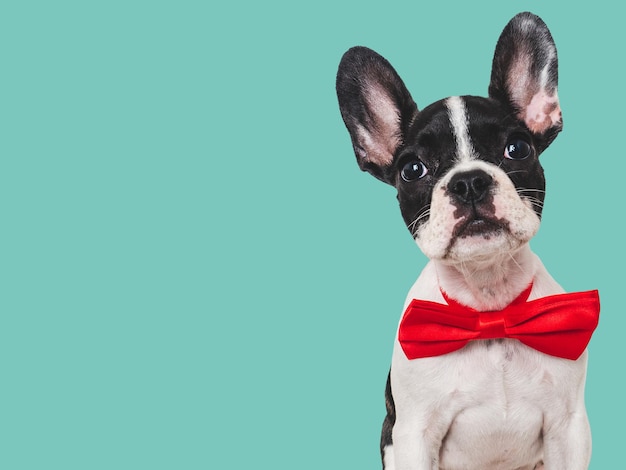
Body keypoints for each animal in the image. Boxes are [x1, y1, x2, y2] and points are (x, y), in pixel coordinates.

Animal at [334, 11, 596, 470]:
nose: (469, 181)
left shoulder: (569, 428)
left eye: (518, 148)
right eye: (412, 170)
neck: (488, 307)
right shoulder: (413, 434)